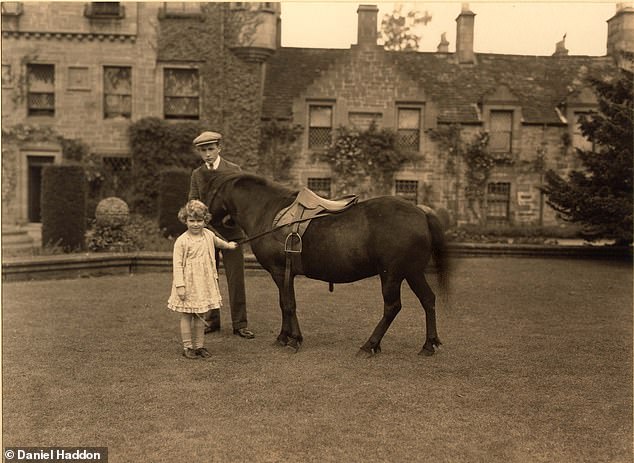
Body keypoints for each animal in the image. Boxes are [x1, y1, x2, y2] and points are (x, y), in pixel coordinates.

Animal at [205, 172, 446, 358]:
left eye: (211, 194)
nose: (205, 218)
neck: (267, 211)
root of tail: (421, 212)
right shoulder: (285, 274)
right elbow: (285, 304)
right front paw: (285, 337)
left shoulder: (279, 271)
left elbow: (287, 305)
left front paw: (293, 339)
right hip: (412, 273)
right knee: (428, 300)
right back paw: (428, 344)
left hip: (392, 275)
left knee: (392, 307)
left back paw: (369, 345)